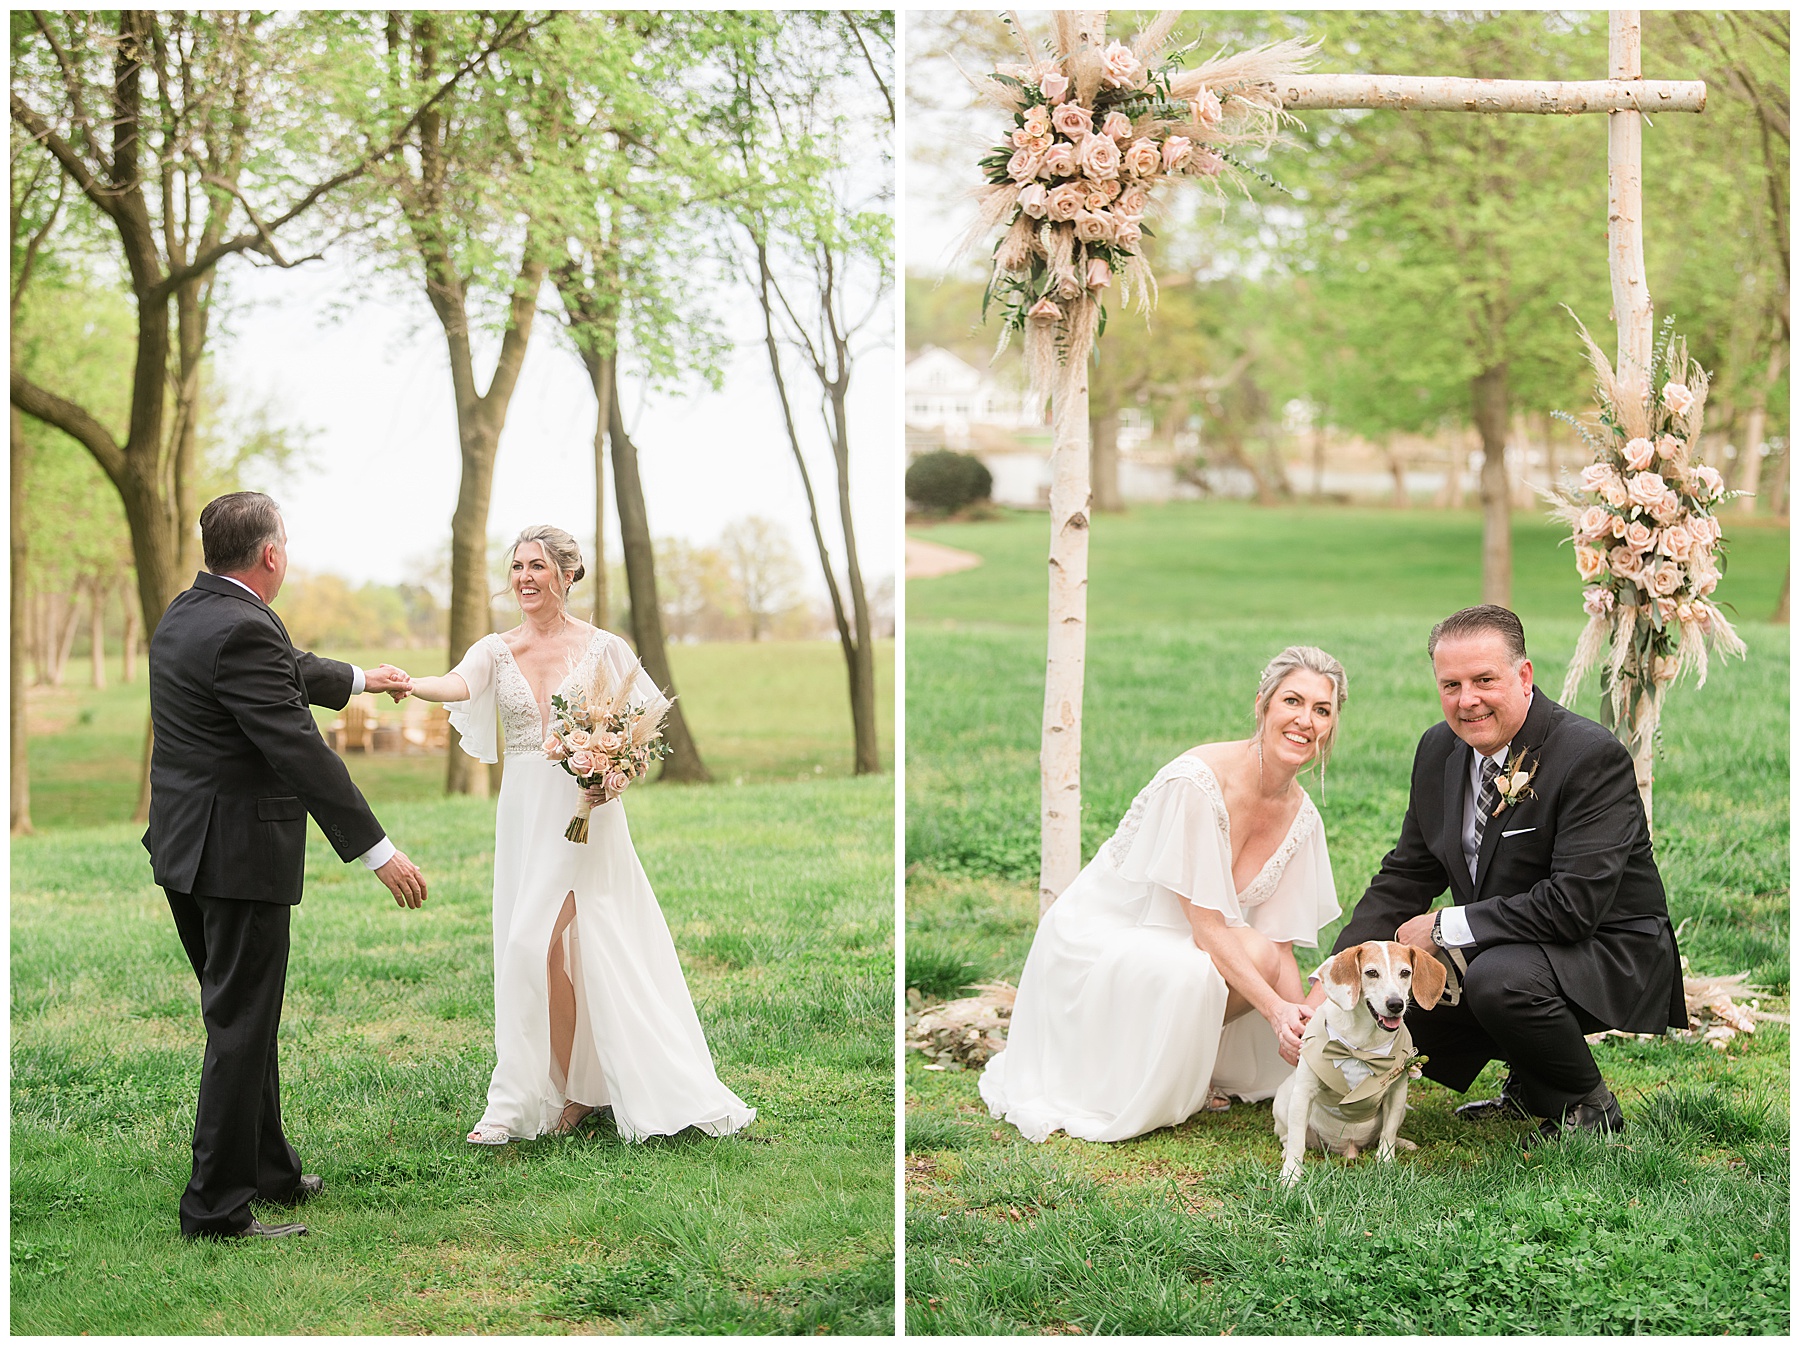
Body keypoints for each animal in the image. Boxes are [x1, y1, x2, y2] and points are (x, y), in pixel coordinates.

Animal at [1267, 942, 1447, 1180]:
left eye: (1405, 972)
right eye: (1371, 973)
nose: (1396, 1004)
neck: (1363, 1043)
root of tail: (1348, 1149)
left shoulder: (1397, 1094)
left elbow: (1388, 1133)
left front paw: (1386, 1162)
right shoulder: (1303, 1093)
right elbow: (1297, 1141)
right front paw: (1290, 1175)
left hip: (1401, 1109)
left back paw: (1402, 1143)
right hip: (1284, 1102)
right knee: (1290, 1136)